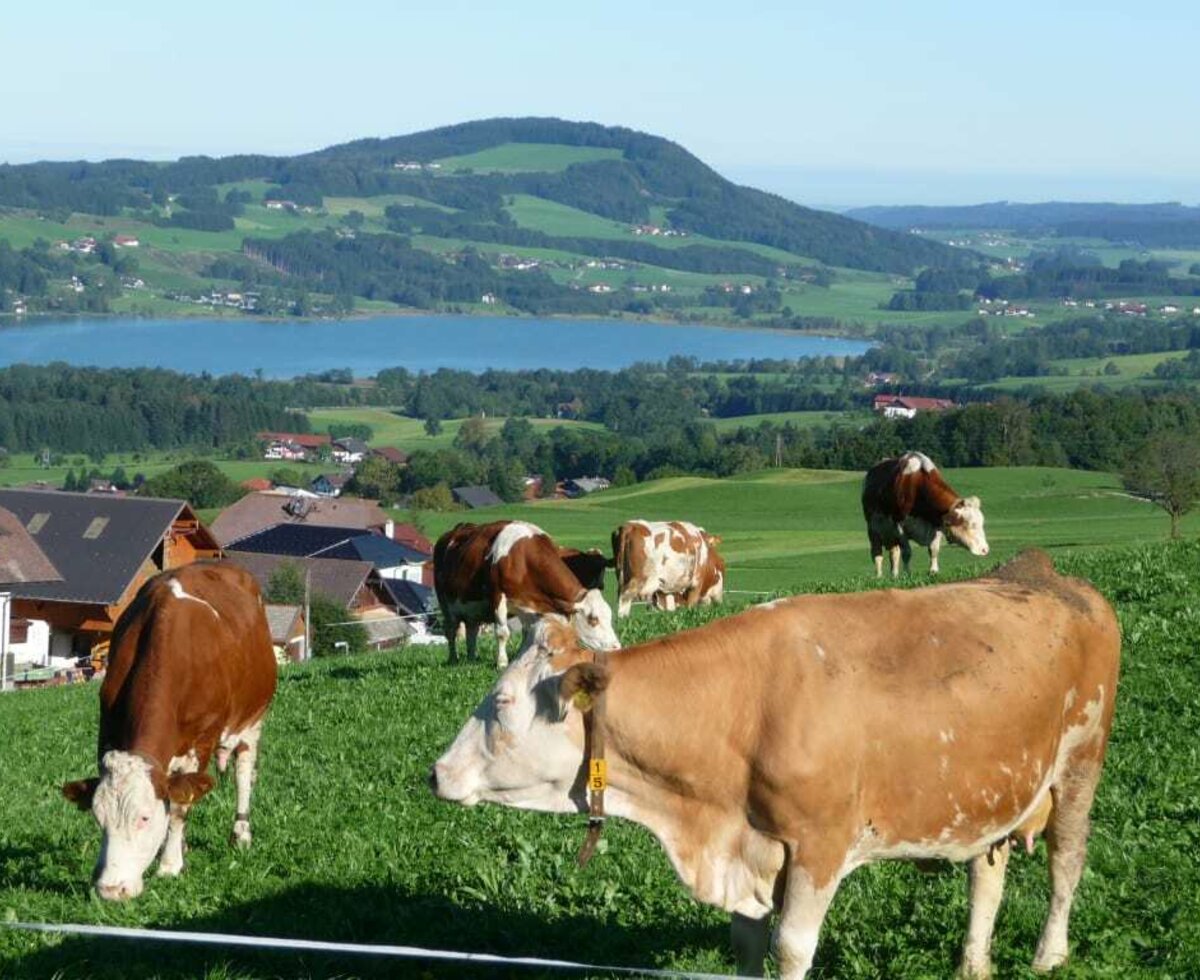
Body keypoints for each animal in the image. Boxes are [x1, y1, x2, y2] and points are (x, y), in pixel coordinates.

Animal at [62, 561, 276, 897]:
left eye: (144, 818)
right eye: (98, 817)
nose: (111, 890)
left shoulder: (202, 741)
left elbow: (178, 806)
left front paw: (169, 865)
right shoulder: (108, 729)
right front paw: (176, 852)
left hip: (253, 719)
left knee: (243, 774)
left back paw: (240, 833)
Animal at [432, 520, 619, 671]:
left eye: (609, 616)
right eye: (593, 619)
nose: (616, 647)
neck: (522, 558)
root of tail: (454, 532)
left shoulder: (530, 605)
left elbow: (529, 634)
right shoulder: (498, 596)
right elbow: (502, 632)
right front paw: (502, 663)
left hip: (472, 608)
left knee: (472, 630)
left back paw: (471, 659)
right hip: (444, 602)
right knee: (450, 631)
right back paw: (454, 659)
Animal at [434, 551, 1123, 978]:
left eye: (502, 702)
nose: (436, 772)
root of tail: (1045, 570)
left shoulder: (820, 846)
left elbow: (791, 948)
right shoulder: (748, 842)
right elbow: (746, 943)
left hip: (1080, 763)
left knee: (1066, 862)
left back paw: (1049, 955)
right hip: (995, 791)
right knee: (988, 873)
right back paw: (973, 962)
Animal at [868, 448, 988, 578]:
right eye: (971, 525)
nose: (985, 549)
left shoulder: (937, 524)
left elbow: (933, 549)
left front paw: (933, 571)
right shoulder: (899, 526)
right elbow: (907, 552)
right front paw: (907, 573)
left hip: (890, 536)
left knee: (894, 553)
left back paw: (894, 576)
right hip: (873, 530)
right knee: (877, 554)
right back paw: (879, 576)